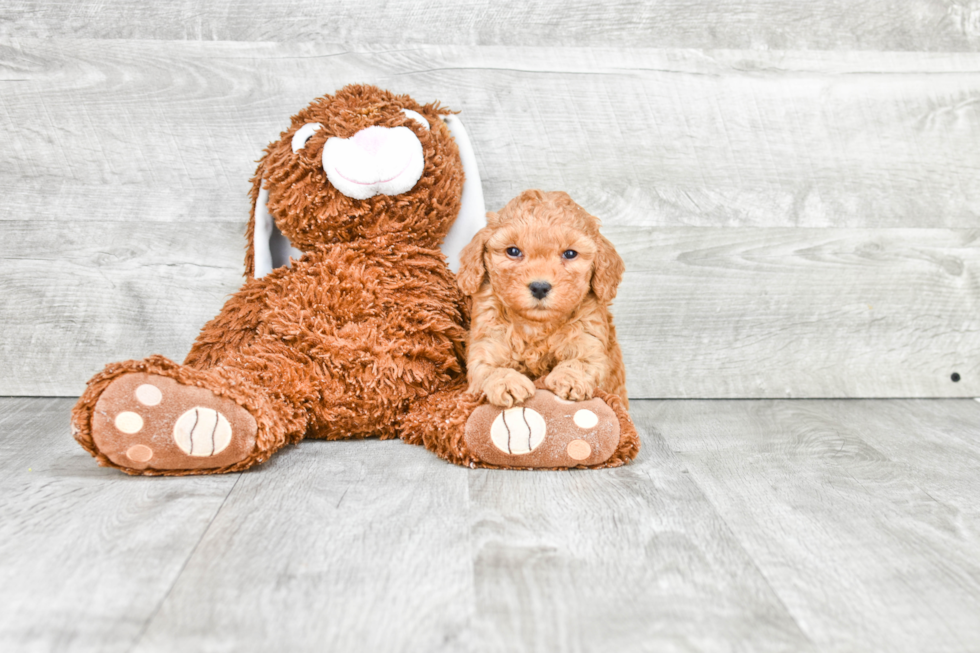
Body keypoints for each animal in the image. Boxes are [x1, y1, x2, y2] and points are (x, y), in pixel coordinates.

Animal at [458, 188, 628, 410]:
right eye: (513, 251)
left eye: (570, 254)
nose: (540, 287)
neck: (536, 326)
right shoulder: (487, 341)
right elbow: (488, 368)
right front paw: (507, 382)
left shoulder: (589, 338)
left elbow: (581, 361)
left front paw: (570, 378)